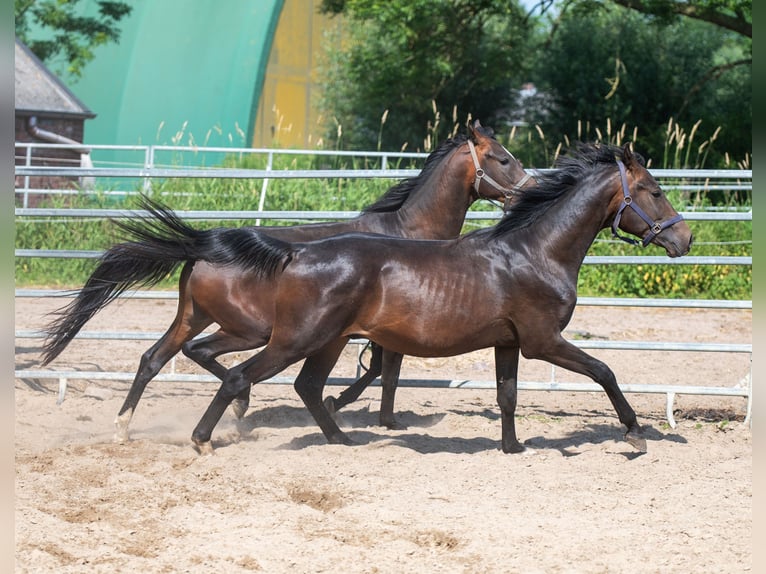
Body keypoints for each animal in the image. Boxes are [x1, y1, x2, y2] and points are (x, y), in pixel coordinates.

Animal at [42, 121, 536, 444]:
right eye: (503, 158)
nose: (531, 190)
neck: (407, 231)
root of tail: (203, 245)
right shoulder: (385, 331)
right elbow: (384, 372)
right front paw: (363, 413)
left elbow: (382, 372)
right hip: (252, 329)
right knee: (204, 357)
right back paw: (237, 409)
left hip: (194, 317)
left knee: (154, 358)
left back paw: (125, 428)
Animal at [178, 143, 688, 454]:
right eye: (655, 191)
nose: (685, 238)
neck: (536, 251)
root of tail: (295, 252)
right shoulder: (542, 341)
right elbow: (604, 370)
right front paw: (636, 434)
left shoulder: (508, 343)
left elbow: (507, 396)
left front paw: (512, 447)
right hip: (294, 339)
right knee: (240, 377)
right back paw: (202, 438)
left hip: (327, 340)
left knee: (307, 387)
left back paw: (342, 439)